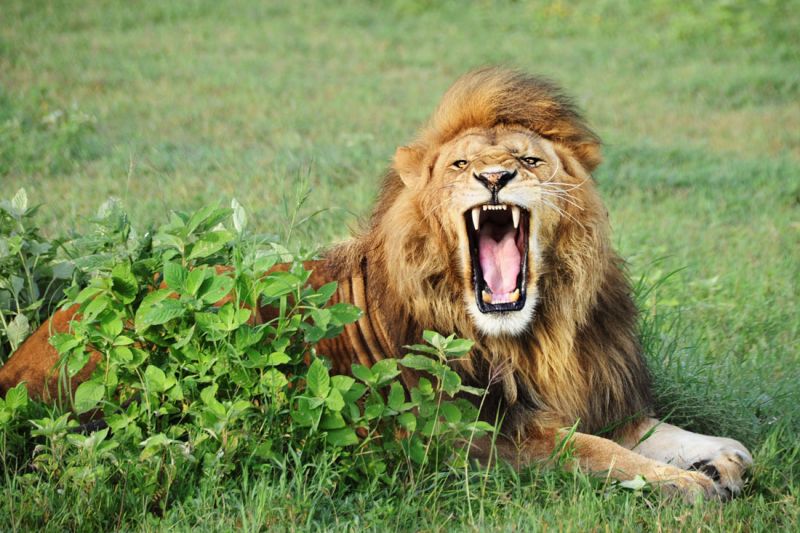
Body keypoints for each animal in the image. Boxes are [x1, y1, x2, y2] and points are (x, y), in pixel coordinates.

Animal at [0, 67, 751, 500]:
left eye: (529, 159)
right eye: (462, 164)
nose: (495, 178)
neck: (537, 335)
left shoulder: (594, 389)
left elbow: (651, 428)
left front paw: (721, 457)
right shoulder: (469, 435)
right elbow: (594, 450)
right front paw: (688, 487)